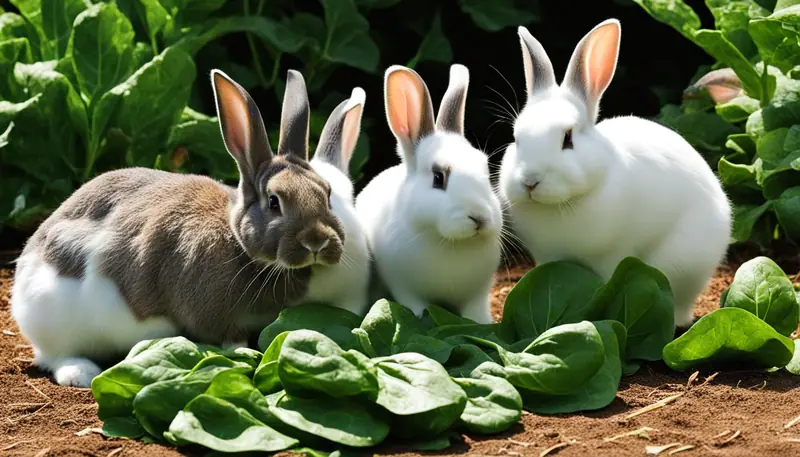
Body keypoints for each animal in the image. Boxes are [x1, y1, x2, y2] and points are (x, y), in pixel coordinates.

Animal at [10, 69, 346, 387]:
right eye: (274, 202)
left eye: (327, 194)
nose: (317, 242)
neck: (239, 246)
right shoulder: (208, 312)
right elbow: (227, 336)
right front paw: (243, 353)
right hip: (56, 317)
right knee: (54, 356)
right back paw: (80, 373)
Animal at [355, 64, 503, 324]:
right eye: (438, 177)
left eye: (485, 167)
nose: (479, 217)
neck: (449, 243)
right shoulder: (405, 288)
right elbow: (416, 307)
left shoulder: (477, 296)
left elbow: (476, 317)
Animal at [498, 19, 732, 329]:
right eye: (516, 138)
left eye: (567, 139)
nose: (529, 181)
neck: (563, 205)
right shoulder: (547, 257)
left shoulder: (613, 257)